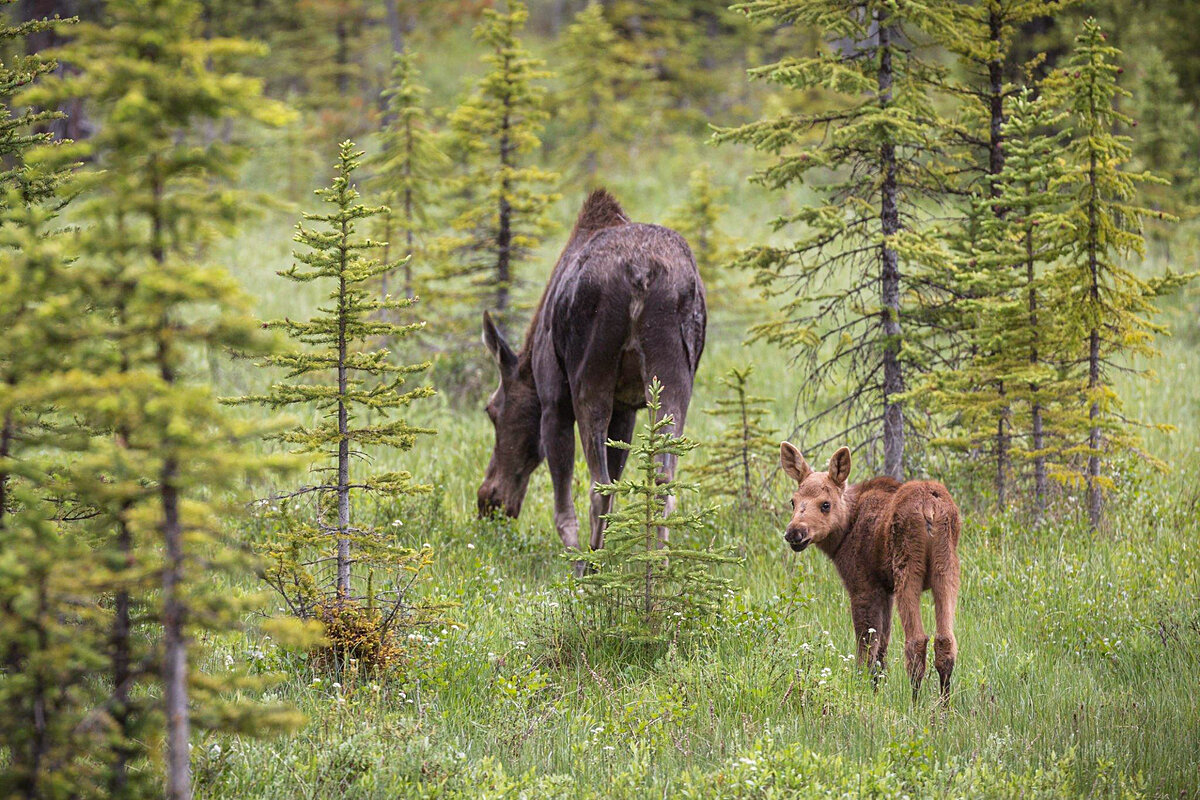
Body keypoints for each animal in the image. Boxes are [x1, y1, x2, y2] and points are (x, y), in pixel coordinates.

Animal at [475, 188, 700, 566]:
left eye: (492, 411)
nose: (488, 501)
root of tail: (641, 273)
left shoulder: (554, 403)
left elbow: (564, 509)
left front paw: (578, 561)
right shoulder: (627, 408)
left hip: (589, 378)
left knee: (600, 486)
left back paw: (591, 567)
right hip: (673, 377)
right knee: (663, 483)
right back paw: (659, 565)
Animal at [777, 443, 964, 700]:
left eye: (825, 504)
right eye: (793, 502)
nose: (794, 533)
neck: (844, 530)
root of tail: (930, 507)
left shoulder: (863, 585)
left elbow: (866, 648)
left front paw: (863, 690)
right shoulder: (885, 589)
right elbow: (882, 648)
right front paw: (877, 688)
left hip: (908, 569)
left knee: (916, 641)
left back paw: (915, 704)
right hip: (946, 568)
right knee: (945, 640)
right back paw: (944, 705)